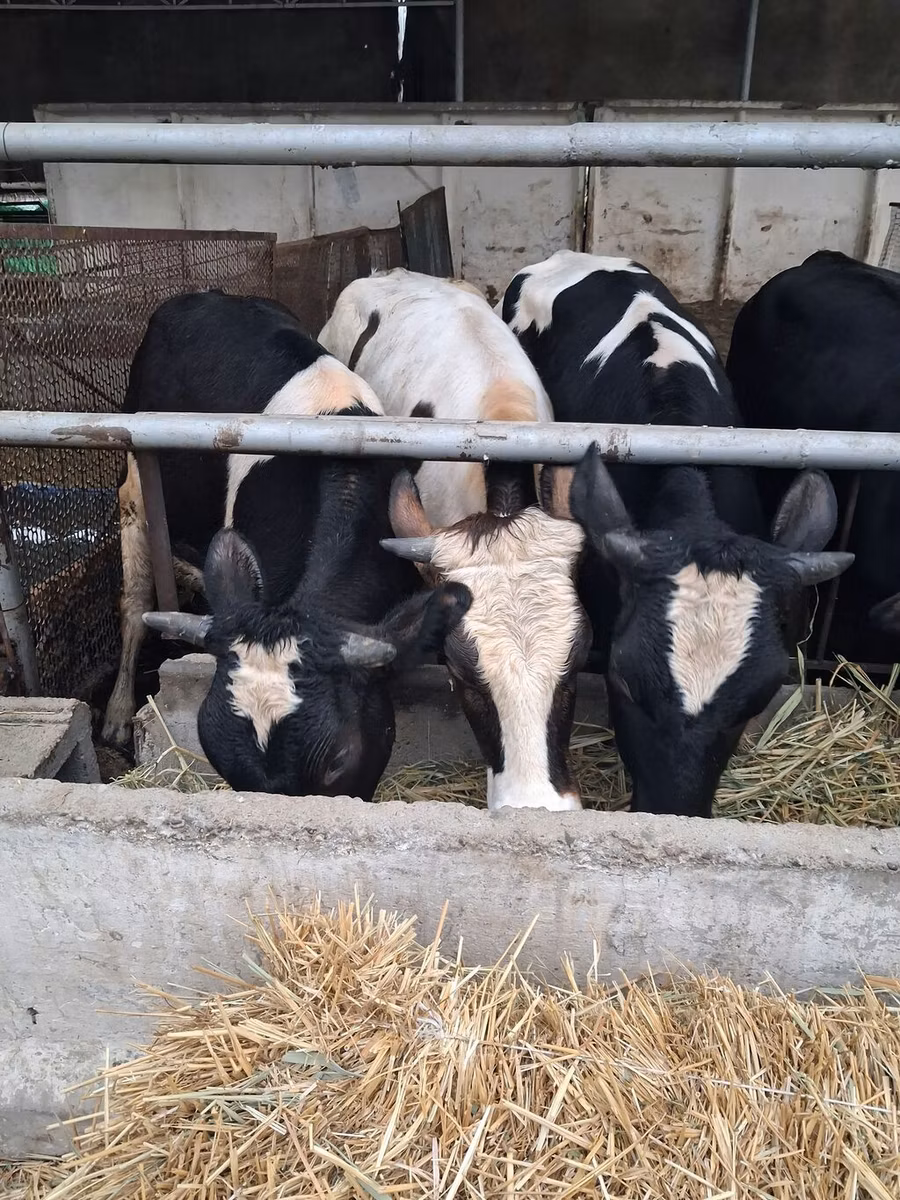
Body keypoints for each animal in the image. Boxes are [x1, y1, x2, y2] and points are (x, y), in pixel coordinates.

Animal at [101, 290, 470, 800]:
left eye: (339, 759)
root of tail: (202, 295)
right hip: (136, 483)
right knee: (135, 603)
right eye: (212, 749)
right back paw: (117, 717)